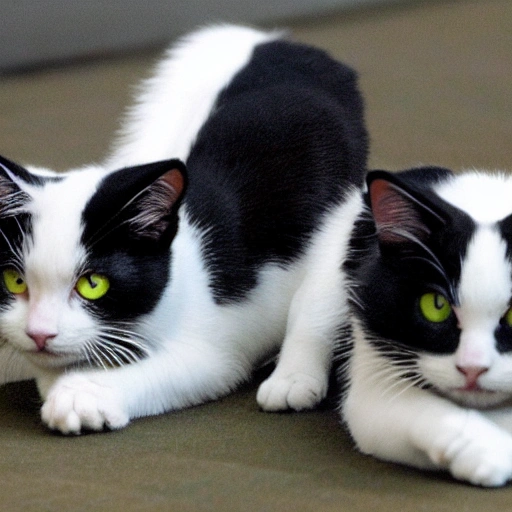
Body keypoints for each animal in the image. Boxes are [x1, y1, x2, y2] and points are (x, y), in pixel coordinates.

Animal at [0, 25, 370, 436]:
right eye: (15, 281)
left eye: (92, 284)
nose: (39, 332)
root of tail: (271, 41)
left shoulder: (216, 347)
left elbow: (181, 367)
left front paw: (84, 393)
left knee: (317, 292)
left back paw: (293, 377)